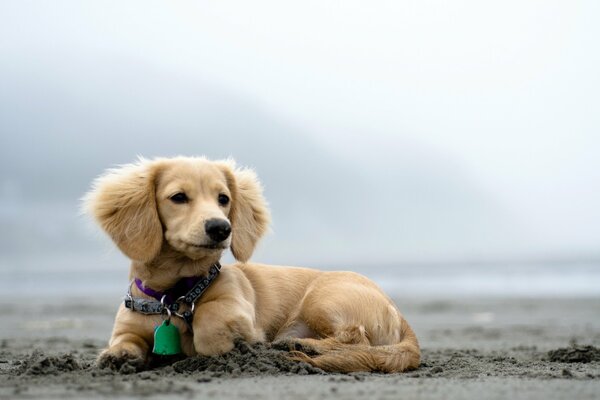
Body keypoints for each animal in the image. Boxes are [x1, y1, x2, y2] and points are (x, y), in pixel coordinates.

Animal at [84, 155, 420, 372]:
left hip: (323, 298)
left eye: (223, 198)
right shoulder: (128, 326)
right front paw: (117, 356)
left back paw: (302, 347)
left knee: (356, 338)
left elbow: (209, 317)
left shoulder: (237, 308)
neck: (175, 293)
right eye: (178, 197)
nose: (221, 228)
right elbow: (125, 340)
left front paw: (219, 344)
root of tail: (399, 313)